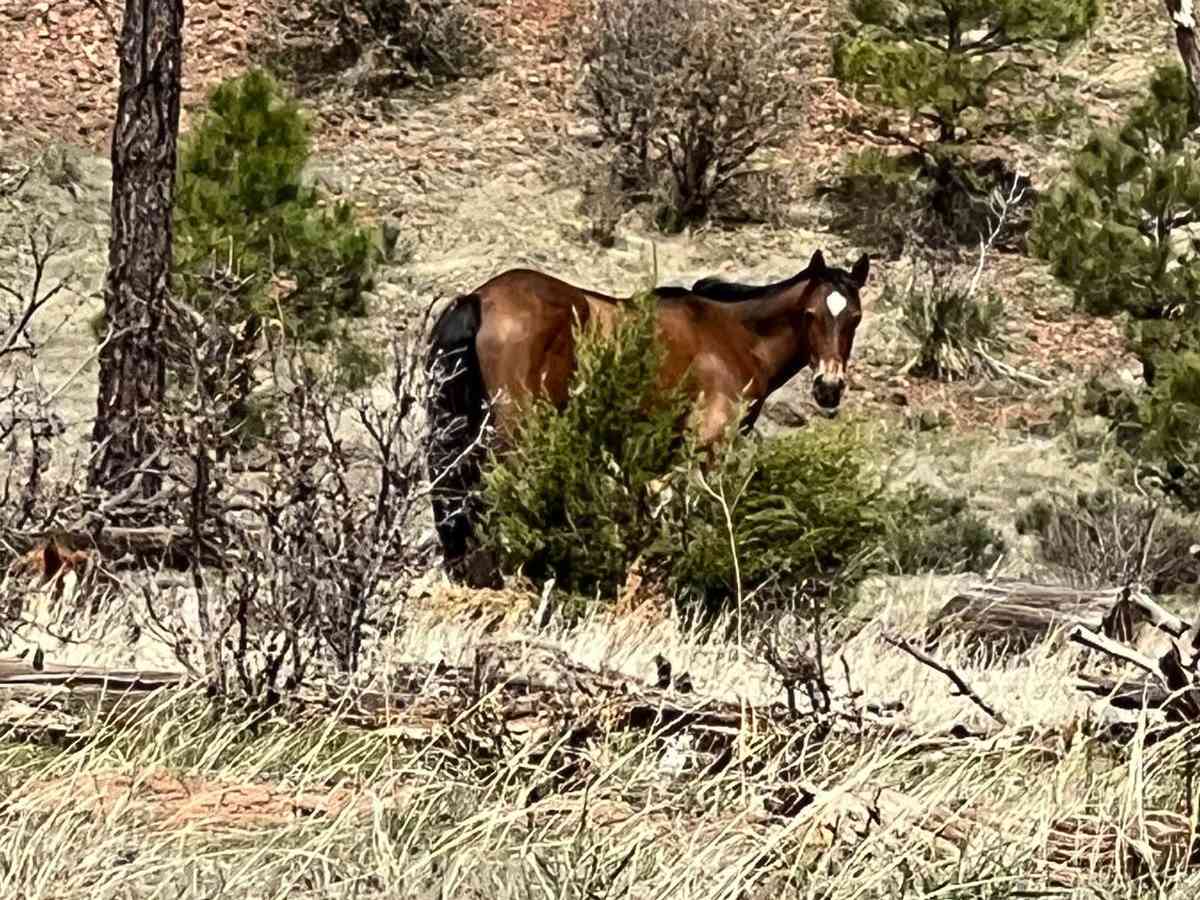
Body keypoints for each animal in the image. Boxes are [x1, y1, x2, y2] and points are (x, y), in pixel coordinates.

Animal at [424, 248, 870, 581]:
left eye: (854, 318)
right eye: (811, 315)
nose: (829, 388)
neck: (734, 334)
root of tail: (479, 299)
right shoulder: (710, 447)